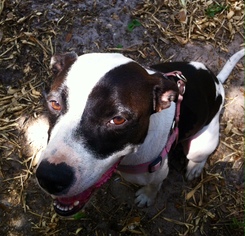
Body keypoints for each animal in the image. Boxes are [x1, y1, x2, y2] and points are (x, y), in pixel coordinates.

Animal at [35, 48, 244, 217]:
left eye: (118, 119)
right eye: (54, 103)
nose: (50, 178)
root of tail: (216, 82)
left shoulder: (158, 172)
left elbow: (153, 186)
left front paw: (147, 196)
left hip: (201, 143)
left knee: (199, 156)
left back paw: (195, 167)